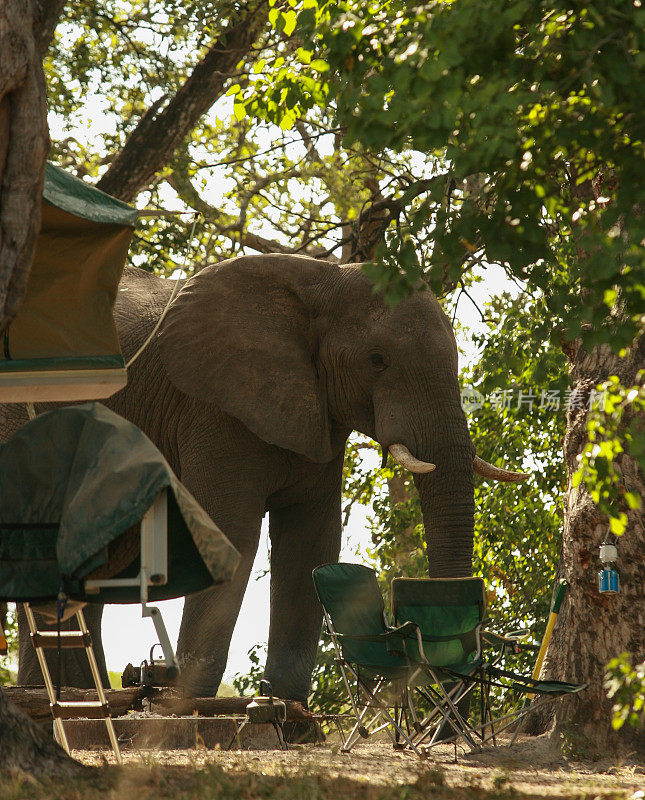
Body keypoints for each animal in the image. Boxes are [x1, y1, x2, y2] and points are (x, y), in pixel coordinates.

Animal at [1, 255, 524, 700]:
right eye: (377, 360)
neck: (323, 283)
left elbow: (310, 542)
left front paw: (281, 703)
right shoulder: (215, 409)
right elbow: (233, 533)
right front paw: (185, 701)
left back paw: (71, 693)